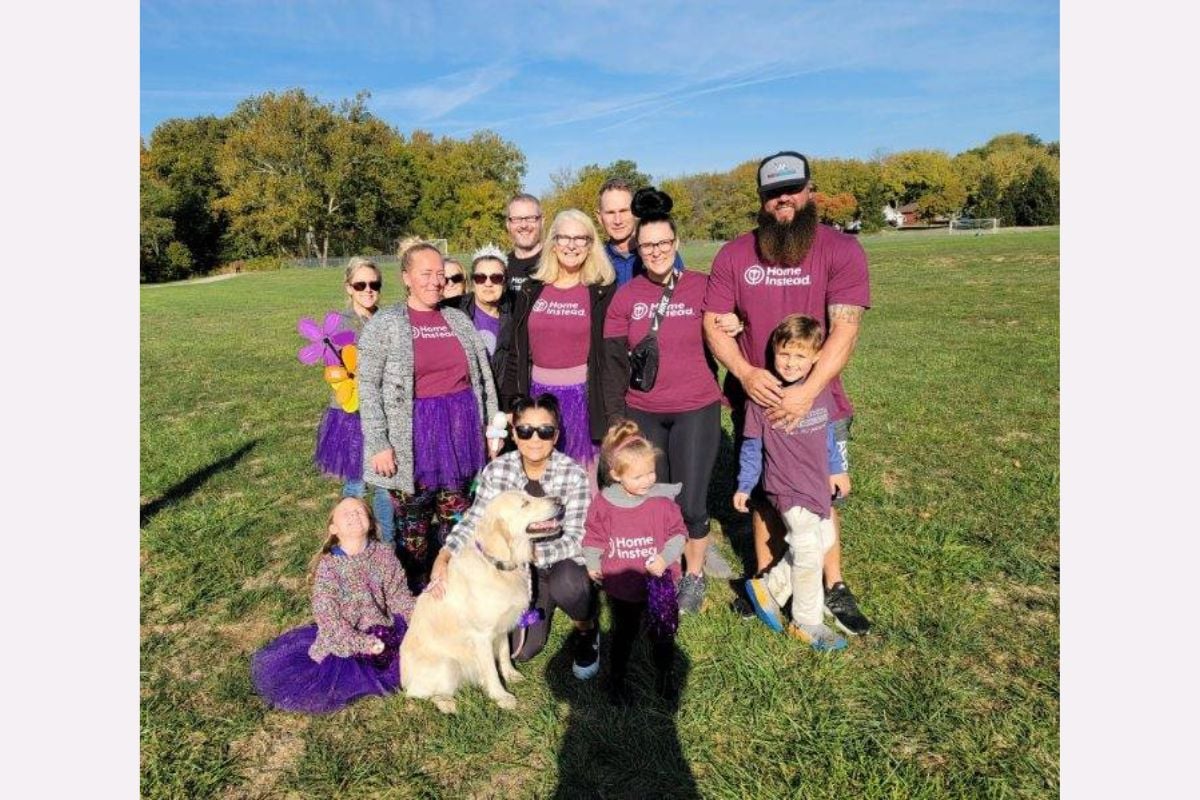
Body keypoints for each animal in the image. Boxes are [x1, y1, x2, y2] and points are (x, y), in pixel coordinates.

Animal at [396, 491, 559, 714]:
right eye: (525, 503)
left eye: (530, 495)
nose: (559, 500)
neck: (498, 566)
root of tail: (403, 681)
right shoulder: (482, 635)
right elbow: (491, 670)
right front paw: (501, 696)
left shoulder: (503, 627)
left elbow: (505, 653)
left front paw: (511, 675)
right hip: (448, 665)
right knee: (420, 695)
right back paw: (448, 704)